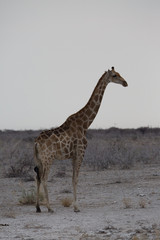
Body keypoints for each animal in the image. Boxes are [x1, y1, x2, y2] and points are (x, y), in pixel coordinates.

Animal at [34, 66, 128, 213]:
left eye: (119, 73)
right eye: (114, 75)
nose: (125, 83)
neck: (85, 124)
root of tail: (37, 143)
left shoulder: (73, 155)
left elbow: (73, 178)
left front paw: (75, 205)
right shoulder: (81, 151)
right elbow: (76, 179)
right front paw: (76, 207)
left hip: (39, 159)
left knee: (37, 177)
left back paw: (38, 207)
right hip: (48, 158)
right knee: (44, 178)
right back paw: (49, 208)